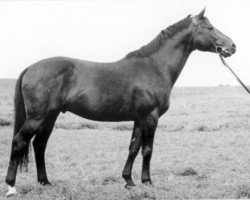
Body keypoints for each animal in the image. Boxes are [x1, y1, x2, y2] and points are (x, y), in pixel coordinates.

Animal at [5, 8, 236, 195]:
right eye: (210, 27)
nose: (232, 46)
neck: (155, 66)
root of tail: (31, 67)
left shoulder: (138, 119)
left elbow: (133, 147)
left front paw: (128, 181)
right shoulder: (150, 117)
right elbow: (147, 149)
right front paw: (147, 181)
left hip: (50, 117)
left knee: (39, 145)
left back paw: (45, 183)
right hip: (37, 117)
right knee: (18, 142)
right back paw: (11, 186)